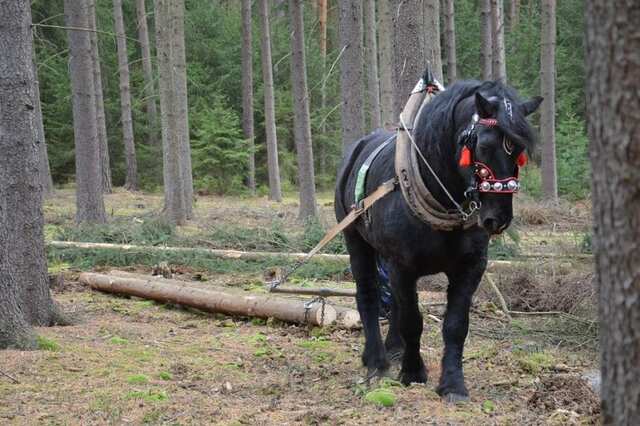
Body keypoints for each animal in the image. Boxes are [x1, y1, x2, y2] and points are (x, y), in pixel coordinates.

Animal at [334, 80, 542, 402]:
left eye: (519, 151)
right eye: (484, 146)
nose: (498, 219)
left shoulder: (470, 267)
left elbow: (455, 325)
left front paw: (453, 384)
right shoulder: (402, 266)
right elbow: (412, 320)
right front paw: (413, 373)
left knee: (393, 301)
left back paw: (394, 349)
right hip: (356, 240)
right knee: (367, 294)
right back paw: (376, 361)